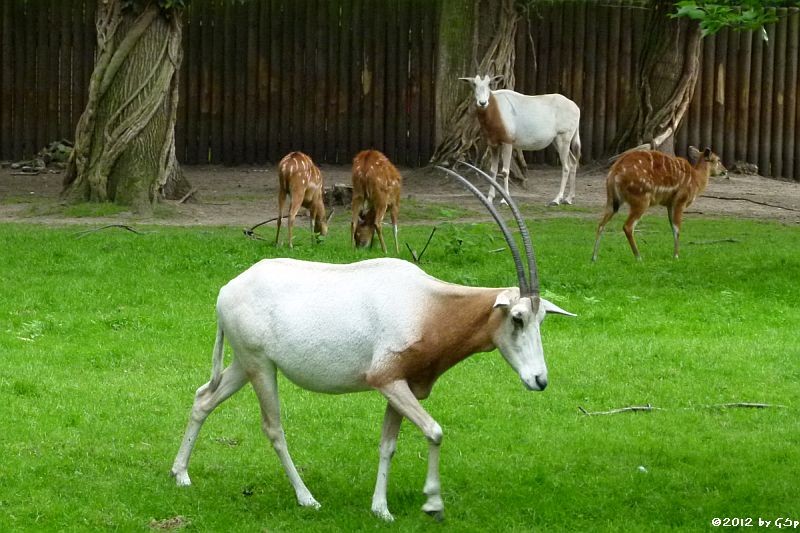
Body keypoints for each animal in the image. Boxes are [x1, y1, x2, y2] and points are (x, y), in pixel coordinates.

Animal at [170, 163, 576, 520]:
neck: (429, 306)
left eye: (541, 319)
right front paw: (433, 504)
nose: (539, 380)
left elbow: (388, 444)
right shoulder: (387, 380)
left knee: (204, 398)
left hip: (245, 364)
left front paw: (380, 508)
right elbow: (434, 431)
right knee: (273, 428)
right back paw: (307, 498)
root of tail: (227, 290)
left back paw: (181, 474)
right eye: (518, 318)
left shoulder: (402, 384)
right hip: (259, 367)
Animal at [592, 147, 728, 260]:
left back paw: (594, 258)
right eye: (718, 159)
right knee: (628, 226)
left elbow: (672, 228)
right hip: (641, 199)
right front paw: (676, 256)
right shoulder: (680, 201)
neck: (696, 179)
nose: (725, 171)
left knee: (601, 224)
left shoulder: (669, 204)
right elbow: (677, 229)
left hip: (612, 200)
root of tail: (614, 173)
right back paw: (639, 257)